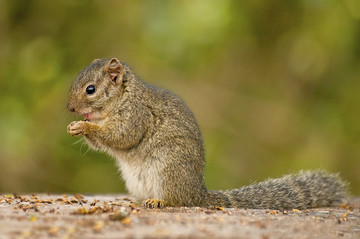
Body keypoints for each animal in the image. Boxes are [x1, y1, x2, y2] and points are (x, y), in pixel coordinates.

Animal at [66, 58, 348, 209]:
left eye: (90, 89)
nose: (69, 108)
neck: (121, 98)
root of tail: (197, 194)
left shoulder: (136, 115)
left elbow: (122, 136)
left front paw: (84, 127)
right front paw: (75, 126)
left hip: (168, 171)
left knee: (178, 201)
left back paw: (159, 202)